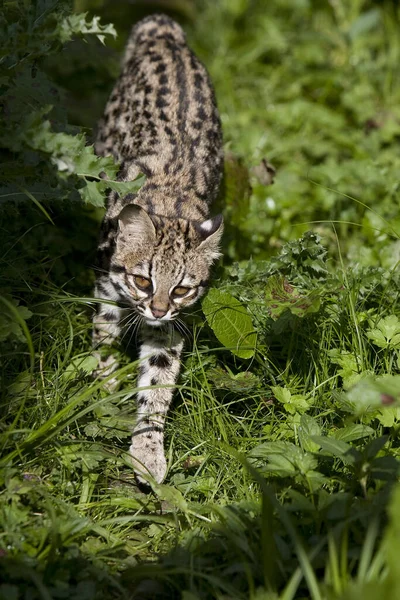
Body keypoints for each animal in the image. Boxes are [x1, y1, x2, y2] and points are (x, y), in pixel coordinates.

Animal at [94, 14, 225, 482]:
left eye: (182, 288)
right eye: (142, 280)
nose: (157, 308)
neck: (169, 202)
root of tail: (163, 28)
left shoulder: (171, 327)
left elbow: (158, 381)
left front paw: (149, 447)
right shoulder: (108, 285)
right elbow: (103, 338)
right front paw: (102, 385)